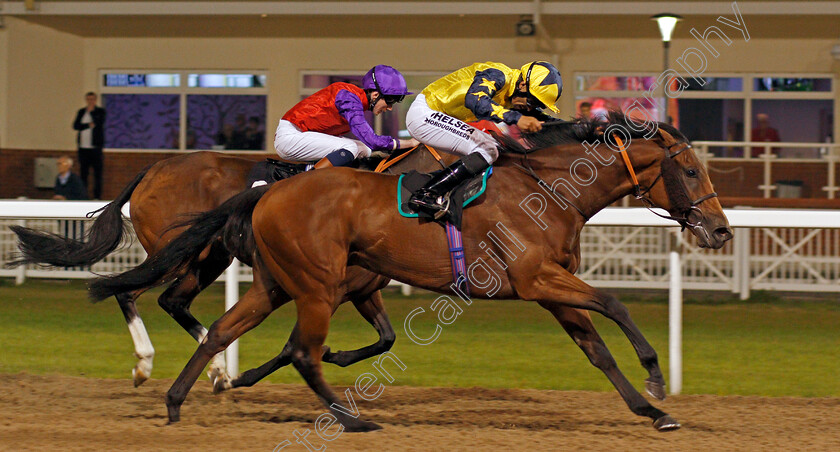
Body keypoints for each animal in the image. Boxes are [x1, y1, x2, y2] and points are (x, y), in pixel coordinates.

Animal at [9, 149, 452, 388]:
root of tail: (152, 169)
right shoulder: (330, 290)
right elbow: (294, 346)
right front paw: (251, 374)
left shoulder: (362, 289)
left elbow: (387, 338)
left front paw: (333, 355)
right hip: (178, 251)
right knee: (130, 291)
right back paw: (146, 363)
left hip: (209, 255)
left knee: (173, 301)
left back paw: (216, 370)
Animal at [88, 113, 736, 430]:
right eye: (692, 171)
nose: (721, 230)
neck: (550, 189)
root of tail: (266, 192)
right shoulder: (536, 279)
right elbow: (616, 304)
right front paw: (655, 378)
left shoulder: (551, 289)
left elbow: (596, 349)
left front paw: (653, 412)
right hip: (312, 284)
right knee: (296, 347)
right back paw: (349, 422)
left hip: (277, 283)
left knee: (222, 328)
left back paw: (180, 399)